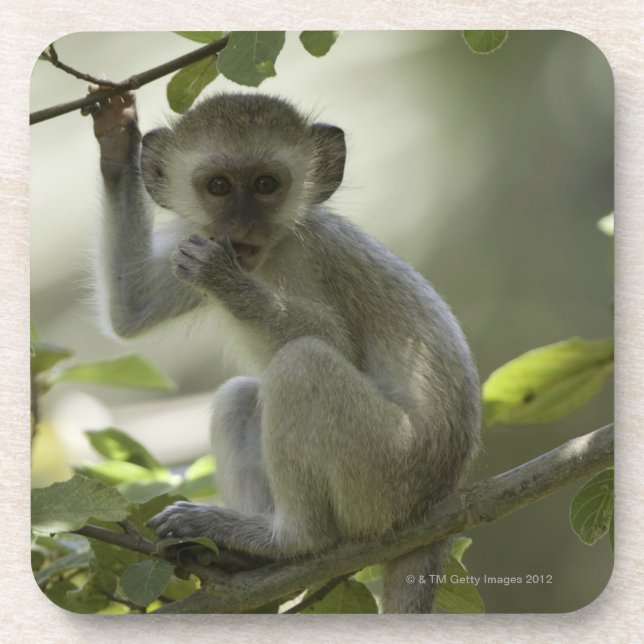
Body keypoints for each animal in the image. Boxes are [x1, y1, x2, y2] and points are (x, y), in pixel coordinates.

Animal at [87, 88, 481, 613]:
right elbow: (133, 309)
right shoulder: (193, 240)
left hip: (387, 477)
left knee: (301, 364)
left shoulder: (308, 256)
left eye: (265, 184)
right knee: (239, 396)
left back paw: (289, 540)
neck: (271, 251)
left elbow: (335, 342)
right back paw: (242, 554)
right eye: (218, 186)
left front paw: (224, 280)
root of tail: (438, 499)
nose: (241, 225)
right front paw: (115, 141)